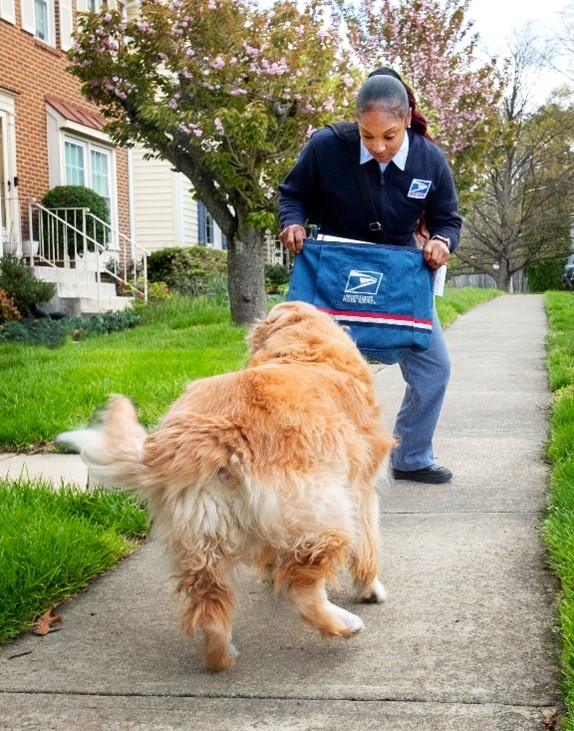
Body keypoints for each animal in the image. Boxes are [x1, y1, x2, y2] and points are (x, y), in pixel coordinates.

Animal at [58, 300, 396, 672]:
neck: (304, 347)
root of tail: (215, 428)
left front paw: (269, 574)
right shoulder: (362, 489)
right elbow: (368, 548)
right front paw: (370, 589)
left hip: (201, 538)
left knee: (210, 607)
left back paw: (221, 655)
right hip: (323, 515)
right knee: (302, 590)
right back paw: (343, 624)